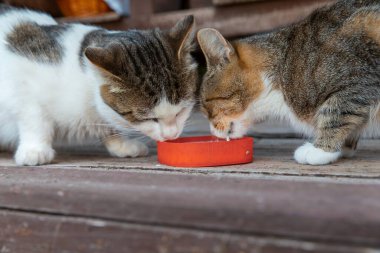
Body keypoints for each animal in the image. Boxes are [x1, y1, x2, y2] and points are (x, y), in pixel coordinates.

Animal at [0, 5, 197, 166]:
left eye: (181, 111)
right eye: (149, 118)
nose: (171, 135)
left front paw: (121, 144)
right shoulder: (20, 80)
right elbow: (34, 118)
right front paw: (35, 150)